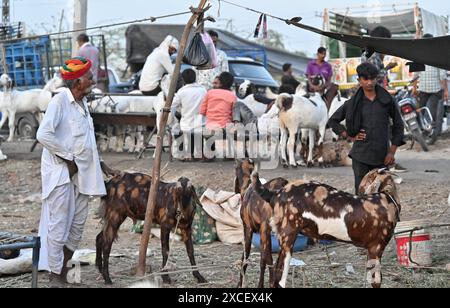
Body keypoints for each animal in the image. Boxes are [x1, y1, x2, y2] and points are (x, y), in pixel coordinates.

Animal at [236, 159, 288, 288]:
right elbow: (266, 260)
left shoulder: (248, 230)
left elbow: (245, 257)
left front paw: (240, 283)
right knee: (279, 261)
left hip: (265, 231)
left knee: (267, 261)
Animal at [251, 168, 402, 288]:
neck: (387, 199)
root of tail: (275, 193)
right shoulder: (376, 248)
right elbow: (376, 282)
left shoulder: (370, 251)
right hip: (288, 238)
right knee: (279, 278)